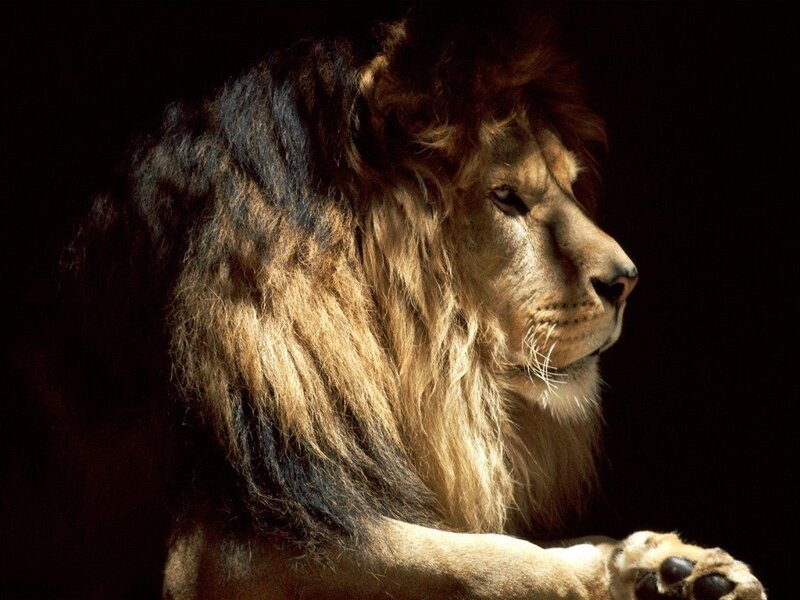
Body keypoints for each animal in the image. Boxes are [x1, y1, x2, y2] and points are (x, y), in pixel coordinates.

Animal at [62, 6, 766, 600]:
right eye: (506, 198)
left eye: (570, 185)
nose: (626, 280)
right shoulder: (215, 548)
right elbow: (485, 557)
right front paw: (617, 575)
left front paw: (670, 567)